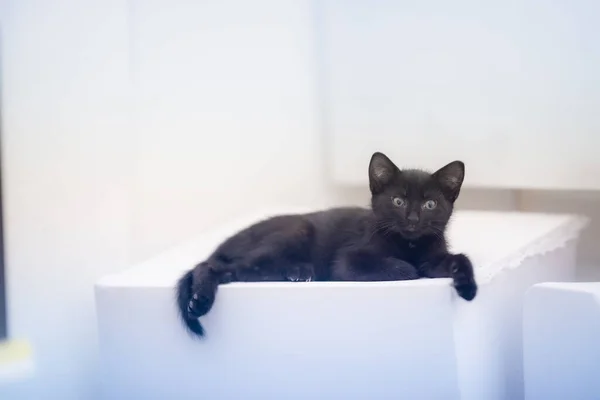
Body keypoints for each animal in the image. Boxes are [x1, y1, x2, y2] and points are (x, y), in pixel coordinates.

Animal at [176, 153, 476, 338]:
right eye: (398, 201)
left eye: (430, 204)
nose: (413, 219)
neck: (410, 244)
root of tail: (226, 242)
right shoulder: (347, 261)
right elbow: (402, 268)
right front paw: (409, 267)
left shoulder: (435, 253)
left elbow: (458, 259)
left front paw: (467, 287)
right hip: (297, 229)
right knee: (215, 267)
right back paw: (200, 301)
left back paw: (297, 271)